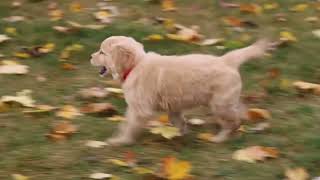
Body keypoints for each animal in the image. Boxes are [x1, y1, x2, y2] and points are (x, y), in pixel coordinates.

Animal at [91, 35, 272, 146]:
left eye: (102, 52)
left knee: (232, 121)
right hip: (226, 100)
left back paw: (220, 138)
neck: (136, 64)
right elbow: (178, 120)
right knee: (239, 110)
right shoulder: (173, 107)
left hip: (220, 103)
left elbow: (129, 124)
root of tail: (226, 60)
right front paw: (181, 134)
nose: (90, 57)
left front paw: (121, 140)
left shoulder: (140, 109)